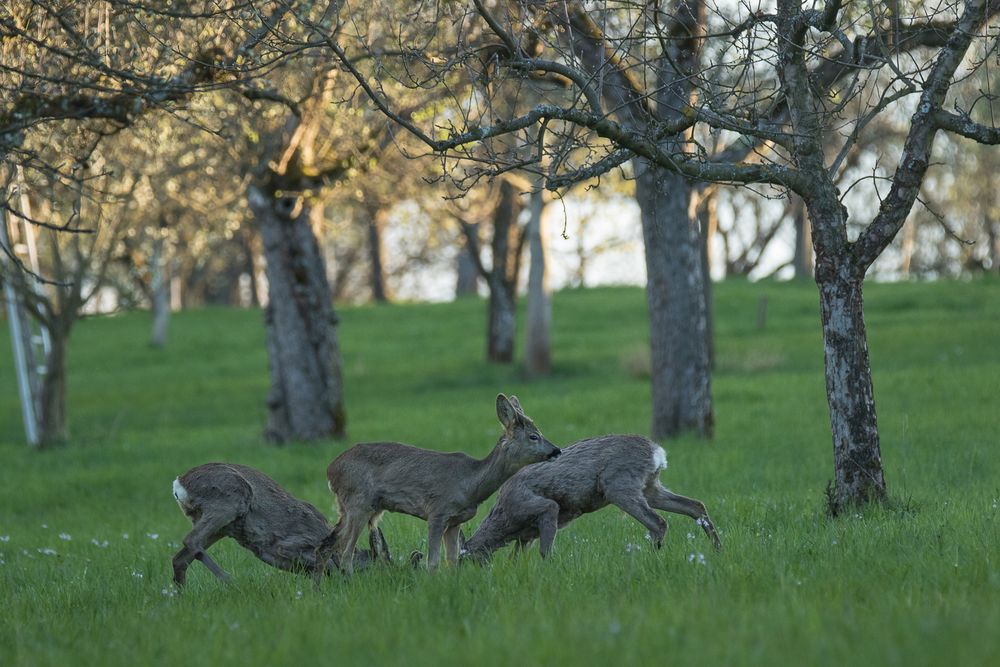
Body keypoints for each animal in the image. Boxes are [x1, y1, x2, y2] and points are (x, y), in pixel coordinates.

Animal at [168, 462, 386, 588]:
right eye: (383, 564)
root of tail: (179, 484)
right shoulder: (291, 545)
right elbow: (327, 566)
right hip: (228, 501)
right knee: (190, 541)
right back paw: (231, 581)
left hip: (222, 525)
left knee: (180, 558)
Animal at [314, 394, 564, 576]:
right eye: (533, 436)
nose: (556, 450)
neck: (469, 485)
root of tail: (330, 470)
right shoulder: (437, 511)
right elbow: (432, 561)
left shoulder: (455, 521)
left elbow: (451, 559)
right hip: (359, 502)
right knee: (345, 553)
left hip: (355, 507)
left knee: (327, 544)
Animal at [462, 436, 728, 560]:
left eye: (464, 558)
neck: (505, 519)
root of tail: (657, 453)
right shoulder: (525, 535)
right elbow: (515, 558)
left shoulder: (545, 509)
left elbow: (545, 551)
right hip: (650, 487)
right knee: (695, 505)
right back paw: (718, 550)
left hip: (619, 486)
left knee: (658, 522)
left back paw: (650, 559)